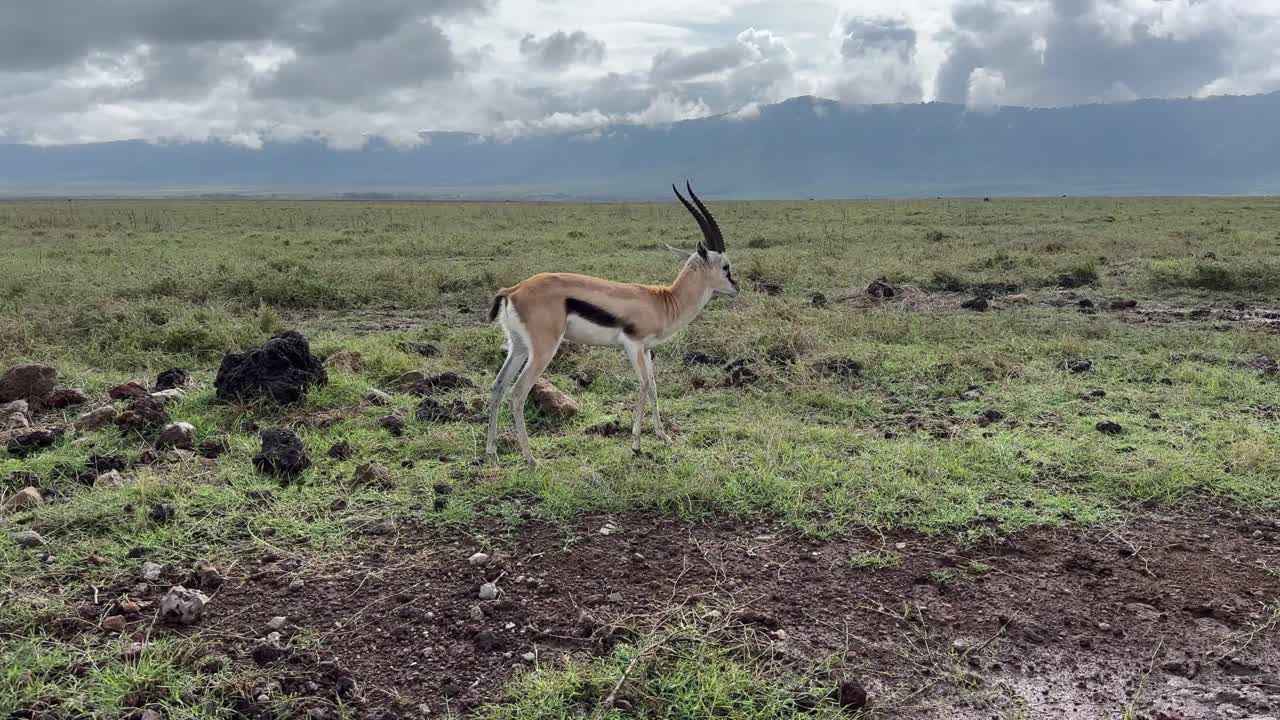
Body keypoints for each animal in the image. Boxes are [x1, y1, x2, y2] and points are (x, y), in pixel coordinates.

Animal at [484, 182, 739, 466]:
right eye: (725, 266)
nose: (736, 288)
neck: (663, 301)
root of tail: (513, 290)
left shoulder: (647, 350)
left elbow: (653, 388)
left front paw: (663, 436)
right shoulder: (633, 345)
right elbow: (644, 385)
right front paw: (636, 445)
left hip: (518, 347)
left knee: (498, 387)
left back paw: (491, 452)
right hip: (543, 351)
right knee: (518, 392)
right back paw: (530, 458)